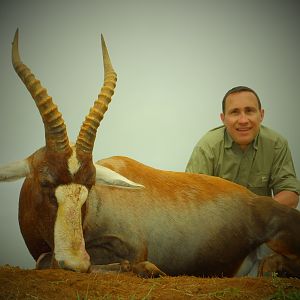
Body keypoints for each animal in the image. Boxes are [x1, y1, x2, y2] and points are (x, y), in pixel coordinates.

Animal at [0, 29, 300, 278]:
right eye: (45, 181)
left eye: (90, 184)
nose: (76, 262)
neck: (98, 203)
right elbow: (46, 259)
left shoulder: (132, 246)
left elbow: (50, 260)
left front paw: (147, 269)